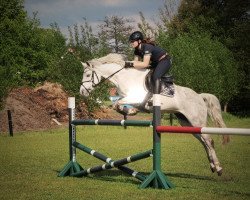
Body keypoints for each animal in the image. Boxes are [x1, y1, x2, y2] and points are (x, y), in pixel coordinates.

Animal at [80, 52, 229, 175]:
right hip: (188, 123)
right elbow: (117, 104)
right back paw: (212, 166)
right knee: (204, 142)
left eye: (87, 75)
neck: (124, 77)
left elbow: (117, 104)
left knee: (209, 141)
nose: (82, 92)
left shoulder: (135, 97)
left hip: (197, 120)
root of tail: (199, 96)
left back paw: (219, 168)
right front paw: (130, 111)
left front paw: (131, 111)